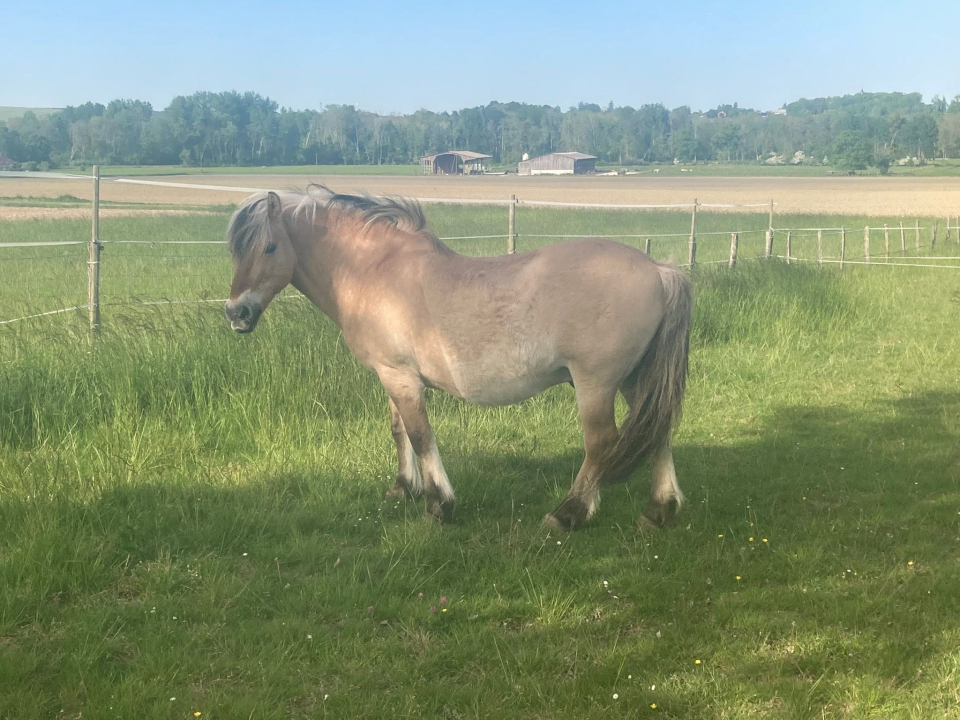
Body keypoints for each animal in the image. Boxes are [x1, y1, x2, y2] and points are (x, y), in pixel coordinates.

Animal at [224, 185, 692, 531]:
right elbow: (398, 431)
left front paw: (438, 504)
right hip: (637, 380)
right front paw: (403, 487)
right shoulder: (391, 375)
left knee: (601, 443)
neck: (373, 270)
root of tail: (659, 270)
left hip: (596, 384)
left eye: (269, 247)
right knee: (659, 430)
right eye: (236, 251)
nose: (236, 314)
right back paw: (660, 510)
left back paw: (567, 514)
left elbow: (420, 436)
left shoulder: (400, 378)